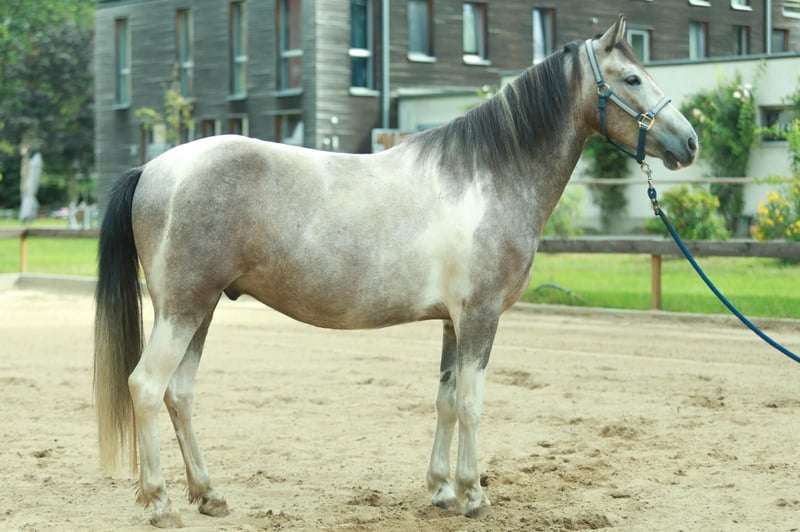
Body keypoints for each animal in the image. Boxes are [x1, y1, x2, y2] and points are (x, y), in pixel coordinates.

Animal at [94, 16, 697, 527]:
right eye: (632, 78)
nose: (689, 142)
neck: (488, 174)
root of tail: (154, 168)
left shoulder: (454, 321)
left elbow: (447, 400)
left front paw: (441, 490)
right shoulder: (480, 317)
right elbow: (472, 402)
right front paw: (474, 495)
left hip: (202, 309)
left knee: (180, 394)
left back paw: (208, 495)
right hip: (184, 308)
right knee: (146, 386)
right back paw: (160, 503)